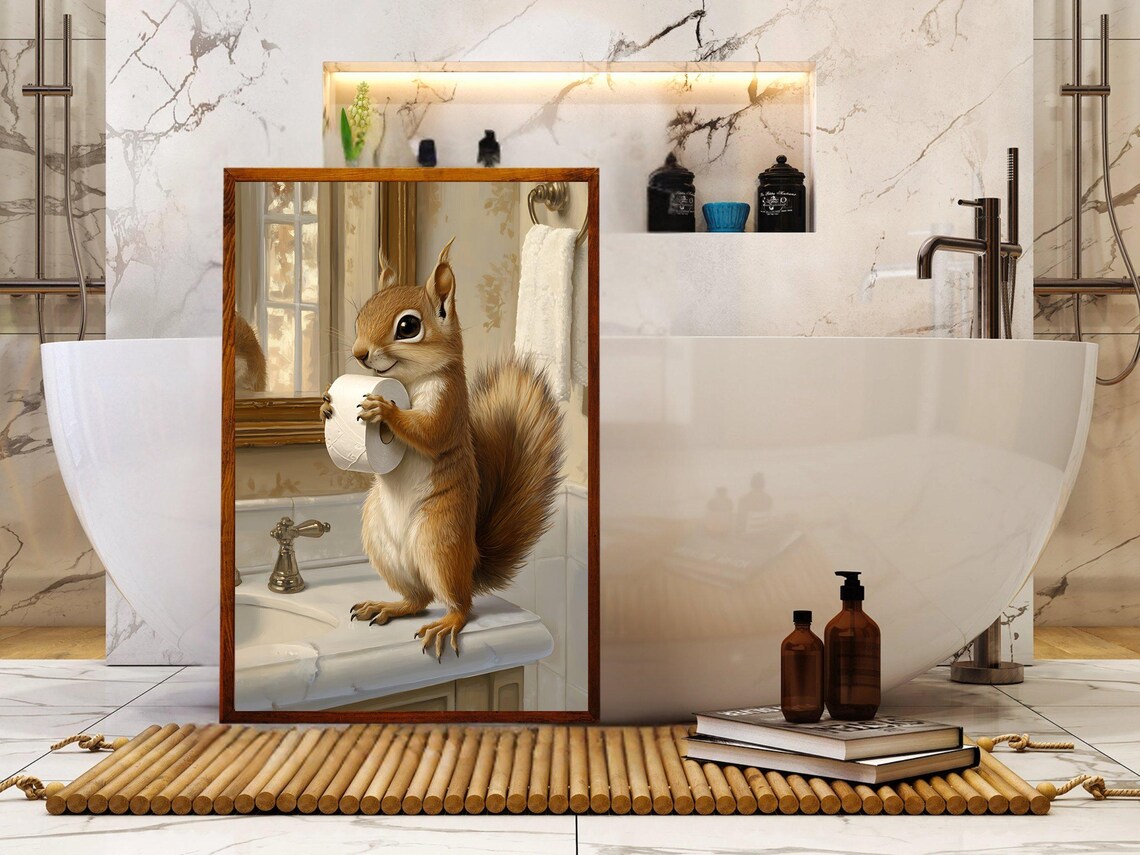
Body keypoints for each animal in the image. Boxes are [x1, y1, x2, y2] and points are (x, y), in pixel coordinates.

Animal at [321, 238, 564, 660]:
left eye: (408, 326)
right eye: (363, 312)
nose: (359, 353)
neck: (406, 379)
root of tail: (471, 560)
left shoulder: (448, 402)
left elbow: (430, 432)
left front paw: (384, 410)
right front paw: (324, 405)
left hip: (440, 540)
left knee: (458, 602)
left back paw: (447, 621)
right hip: (384, 547)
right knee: (418, 598)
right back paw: (387, 606)